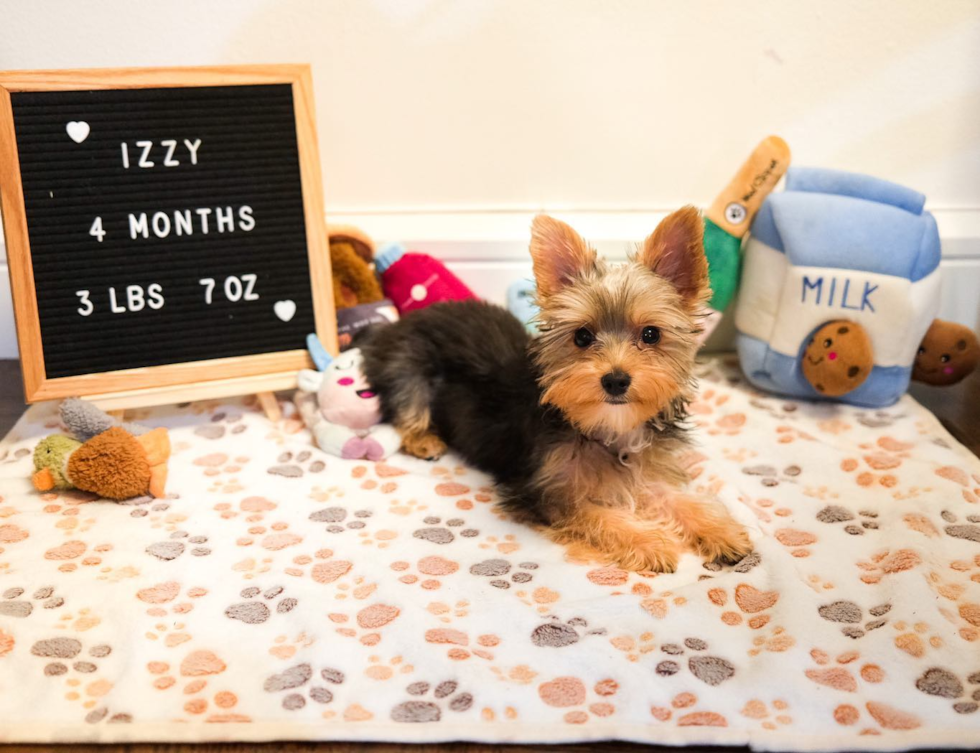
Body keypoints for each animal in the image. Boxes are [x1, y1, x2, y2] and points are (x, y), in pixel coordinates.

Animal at [360, 206, 752, 568]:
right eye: (582, 336)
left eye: (651, 334)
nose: (615, 379)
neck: (606, 429)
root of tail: (396, 325)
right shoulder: (546, 491)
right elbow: (598, 514)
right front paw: (649, 542)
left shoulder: (646, 469)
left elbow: (675, 497)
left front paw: (720, 531)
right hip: (408, 365)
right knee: (406, 406)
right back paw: (424, 439)